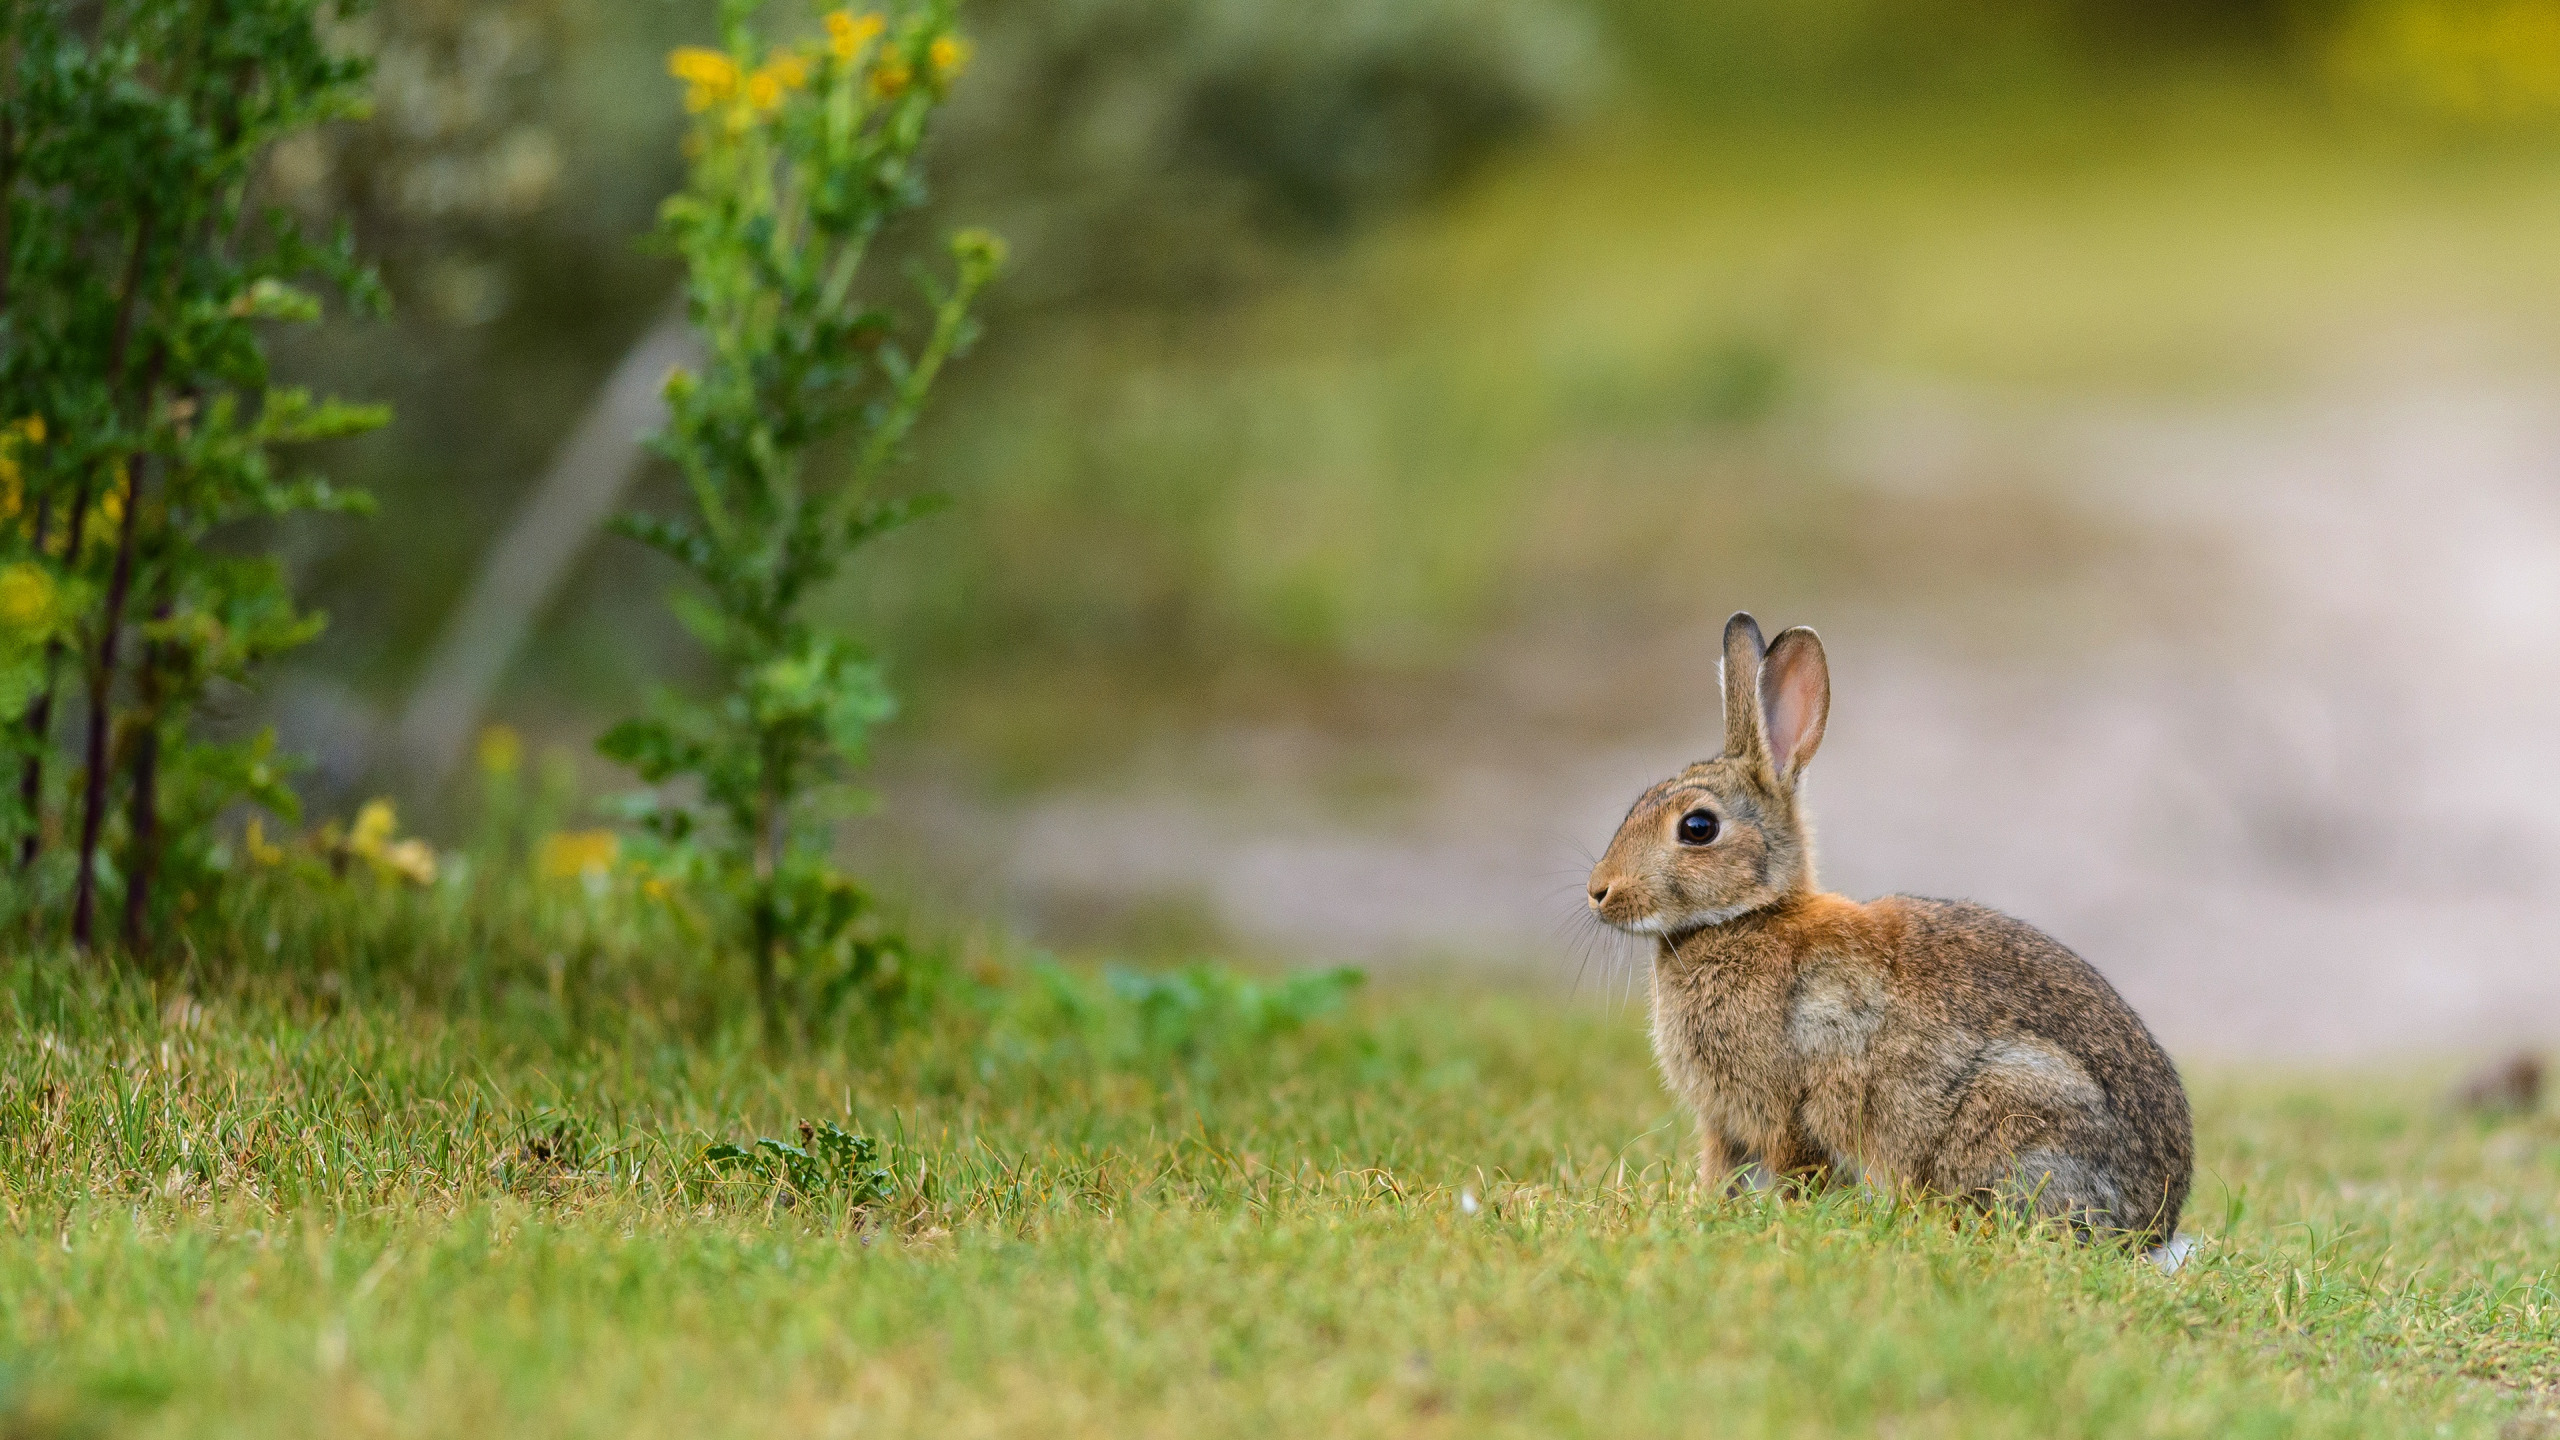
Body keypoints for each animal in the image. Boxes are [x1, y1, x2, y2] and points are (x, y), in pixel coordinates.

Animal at [1587, 609, 2191, 1250]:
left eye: (1698, 827)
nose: (1599, 891)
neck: (1750, 916)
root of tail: (2155, 1224)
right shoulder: (1726, 1125)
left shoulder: (1785, 1108)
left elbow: (1794, 1165)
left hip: (2010, 1116)